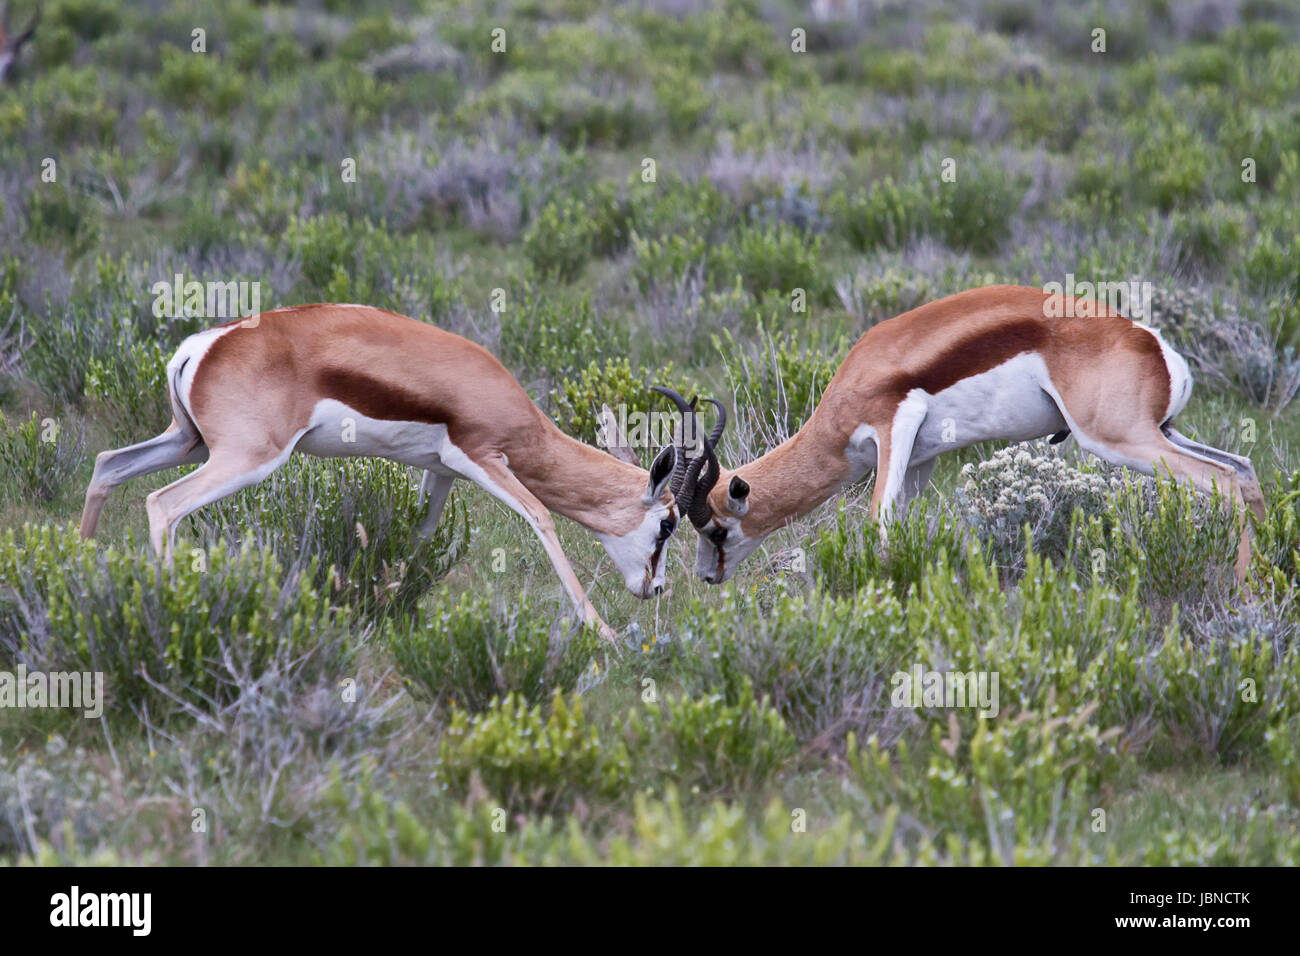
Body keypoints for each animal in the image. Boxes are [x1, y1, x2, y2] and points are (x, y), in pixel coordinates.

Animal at [78, 304, 694, 644]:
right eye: (667, 524)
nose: (656, 589)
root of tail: (200, 347)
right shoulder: (482, 457)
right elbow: (542, 518)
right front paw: (603, 632)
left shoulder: (440, 472)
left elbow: (417, 537)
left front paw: (391, 608)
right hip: (244, 459)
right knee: (161, 503)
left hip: (188, 443)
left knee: (107, 466)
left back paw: (79, 567)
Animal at [668, 285, 1268, 585]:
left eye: (715, 529)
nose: (705, 578)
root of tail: (1153, 342)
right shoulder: (919, 459)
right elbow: (901, 524)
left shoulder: (894, 425)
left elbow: (878, 521)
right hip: (1163, 432)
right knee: (1243, 469)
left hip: (1119, 441)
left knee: (1223, 481)